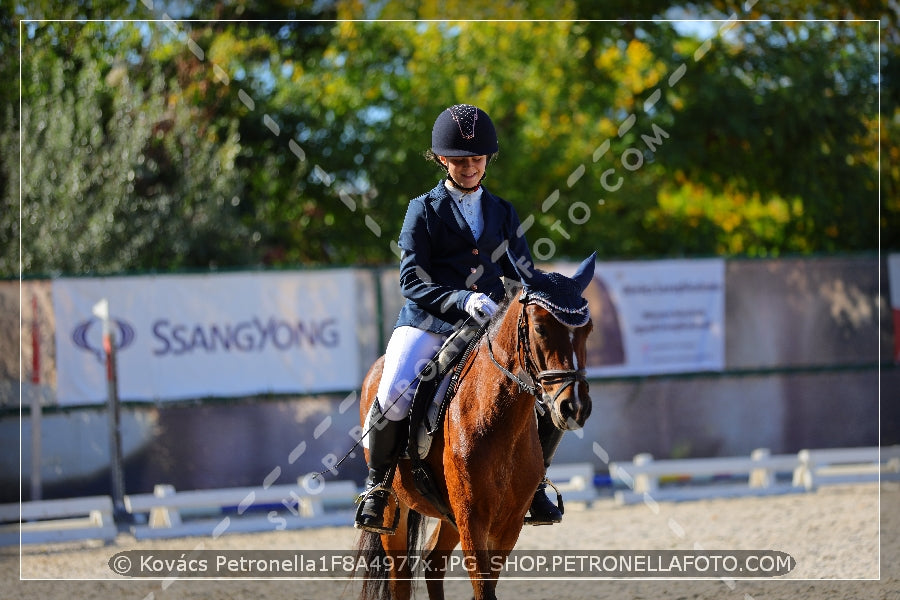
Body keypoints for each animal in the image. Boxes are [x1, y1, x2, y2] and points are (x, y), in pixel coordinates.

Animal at [354, 251, 596, 596]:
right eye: (540, 328)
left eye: (588, 330)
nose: (575, 407)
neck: (498, 420)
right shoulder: (472, 518)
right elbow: (482, 589)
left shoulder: (507, 524)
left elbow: (488, 586)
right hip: (397, 513)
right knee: (399, 576)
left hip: (449, 517)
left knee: (432, 562)